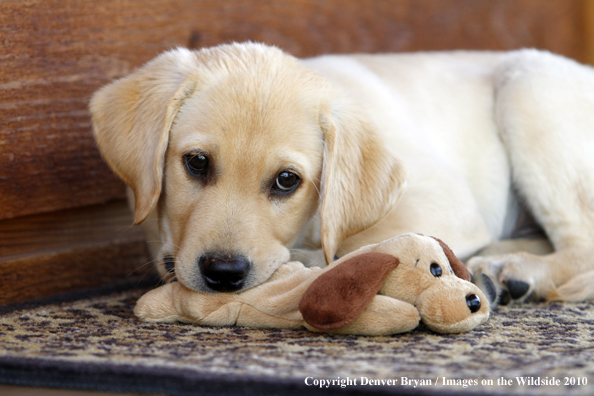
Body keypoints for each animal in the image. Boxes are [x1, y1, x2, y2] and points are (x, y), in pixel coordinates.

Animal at [90, 41, 592, 304]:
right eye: (196, 162)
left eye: (287, 180)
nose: (224, 273)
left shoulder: (445, 201)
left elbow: (356, 245)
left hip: (528, 87)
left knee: (582, 241)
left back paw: (515, 269)